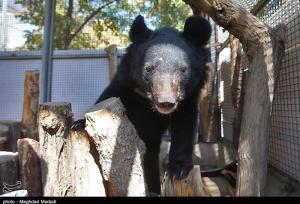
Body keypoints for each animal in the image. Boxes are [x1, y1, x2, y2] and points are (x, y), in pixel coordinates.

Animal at [74, 14, 211, 194]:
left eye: (183, 69)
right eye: (148, 68)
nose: (166, 102)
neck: (148, 101)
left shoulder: (188, 97)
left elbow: (185, 126)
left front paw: (178, 169)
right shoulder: (126, 86)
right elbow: (106, 97)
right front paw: (78, 124)